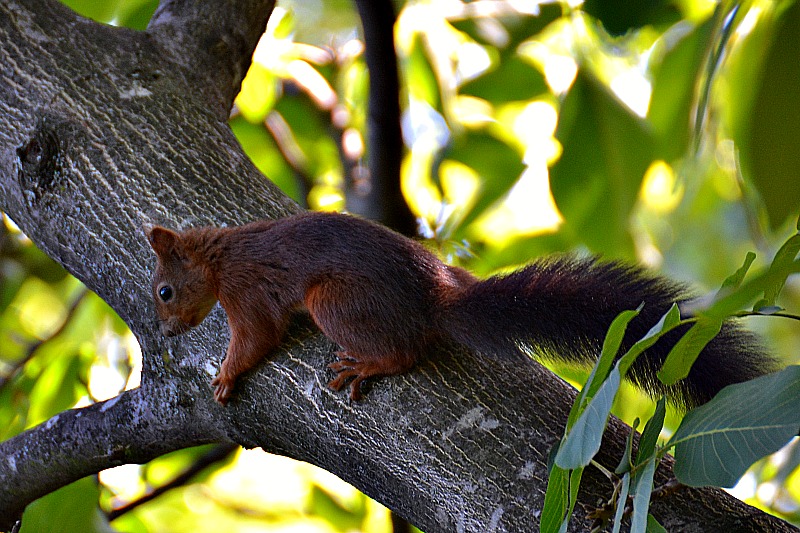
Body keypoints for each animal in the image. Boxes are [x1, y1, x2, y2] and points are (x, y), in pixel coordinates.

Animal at [147, 210, 780, 406]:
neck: (221, 256)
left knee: (406, 351)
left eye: (164, 292)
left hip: (335, 301)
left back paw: (370, 363)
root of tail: (436, 296)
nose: (169, 333)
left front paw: (227, 375)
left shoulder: (248, 293)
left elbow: (258, 337)